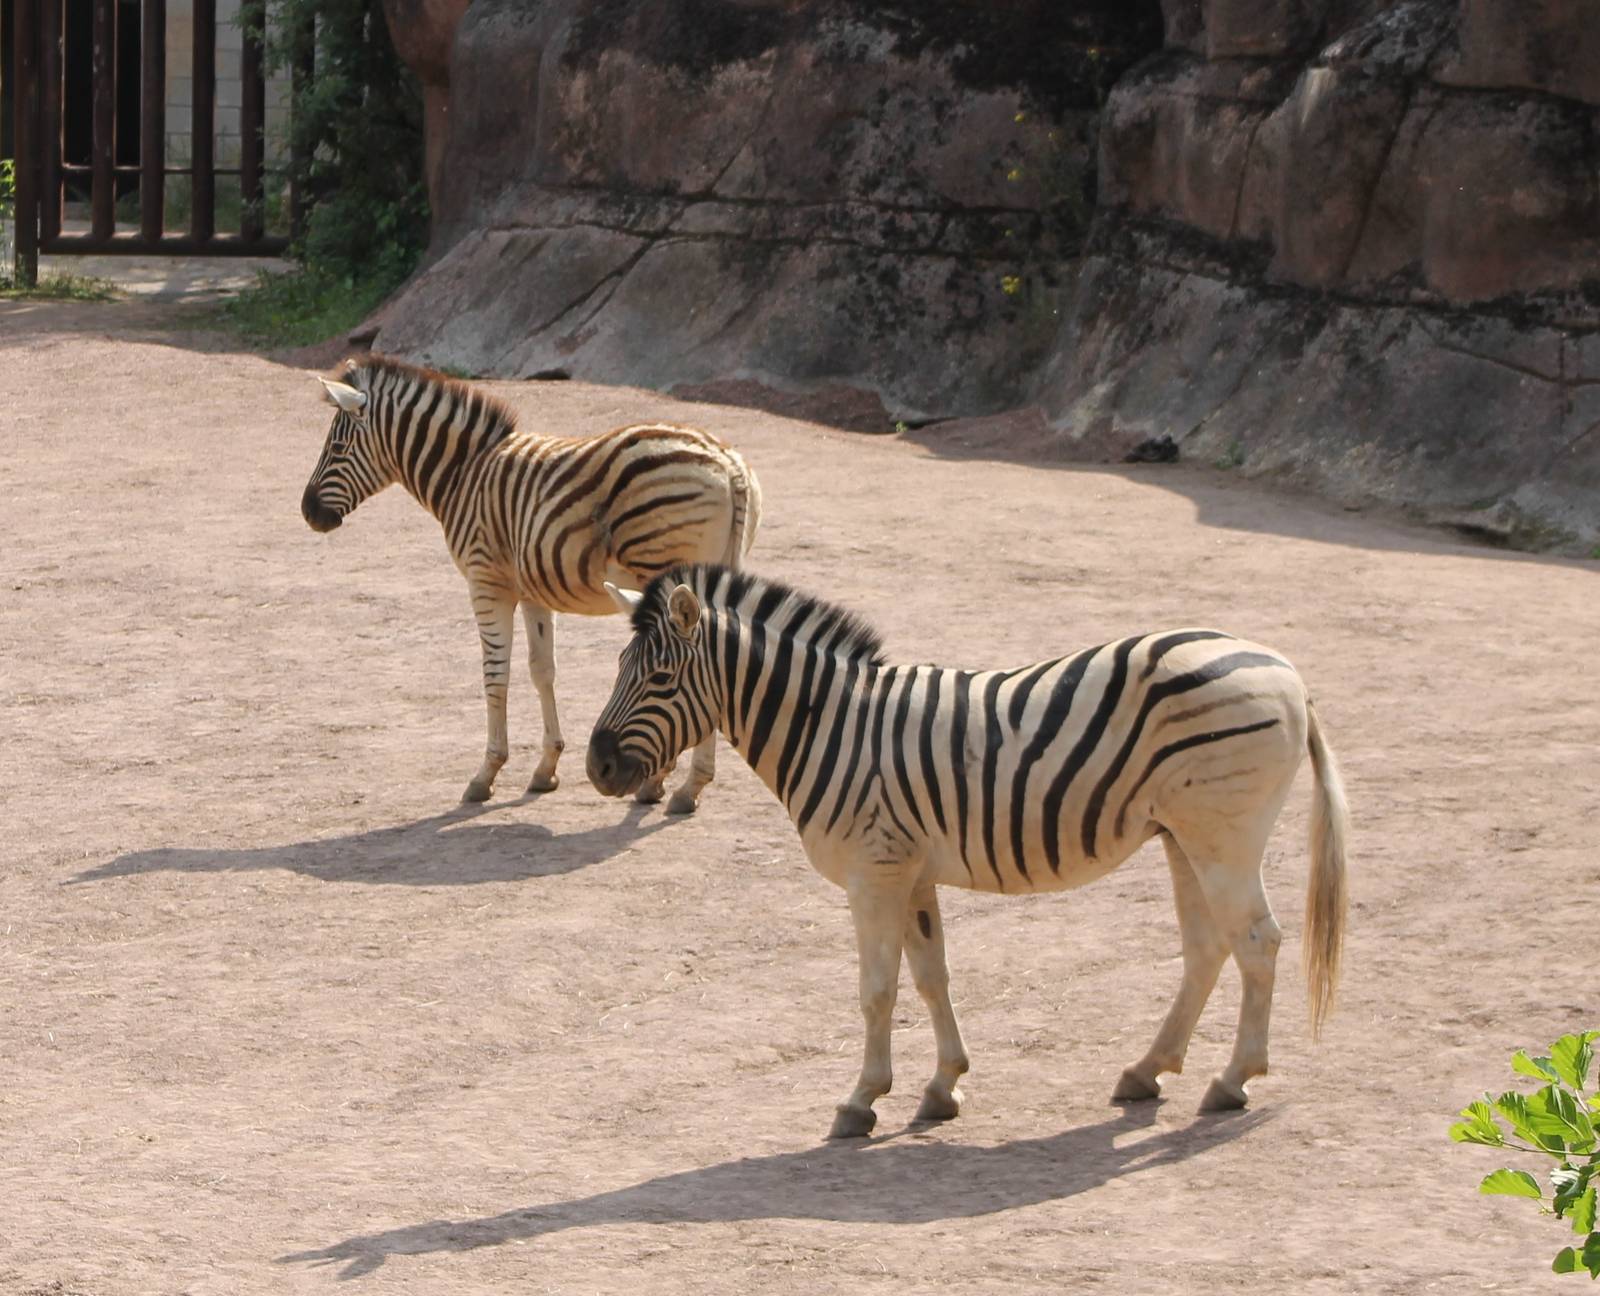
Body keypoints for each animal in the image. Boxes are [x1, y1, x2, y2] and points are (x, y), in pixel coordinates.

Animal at [300, 355, 762, 811]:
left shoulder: (486, 582)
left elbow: (495, 675)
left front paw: (486, 774)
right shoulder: (532, 590)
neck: (463, 475)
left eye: (337, 448)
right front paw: (546, 768)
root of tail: (728, 463)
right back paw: (688, 786)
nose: (307, 512)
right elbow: (543, 670)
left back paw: (667, 784)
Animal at [586, 565, 1348, 1137]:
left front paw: (860, 1101)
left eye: (658, 680)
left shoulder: (874, 874)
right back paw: (1146, 1070)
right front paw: (942, 1088)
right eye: (618, 666)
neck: (829, 727)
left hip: (1223, 836)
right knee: (1208, 948)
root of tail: (1289, 675)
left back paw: (1232, 1081)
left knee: (1257, 942)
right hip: (1184, 837)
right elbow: (932, 978)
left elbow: (876, 990)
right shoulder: (911, 871)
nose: (597, 769)